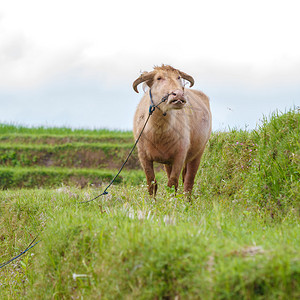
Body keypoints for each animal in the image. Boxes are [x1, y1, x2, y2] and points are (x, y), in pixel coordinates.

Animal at [132, 65, 212, 197]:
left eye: (178, 77)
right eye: (159, 78)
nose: (178, 95)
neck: (159, 132)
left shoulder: (180, 156)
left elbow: (172, 183)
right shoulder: (143, 156)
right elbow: (152, 183)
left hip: (198, 153)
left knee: (188, 182)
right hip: (168, 162)